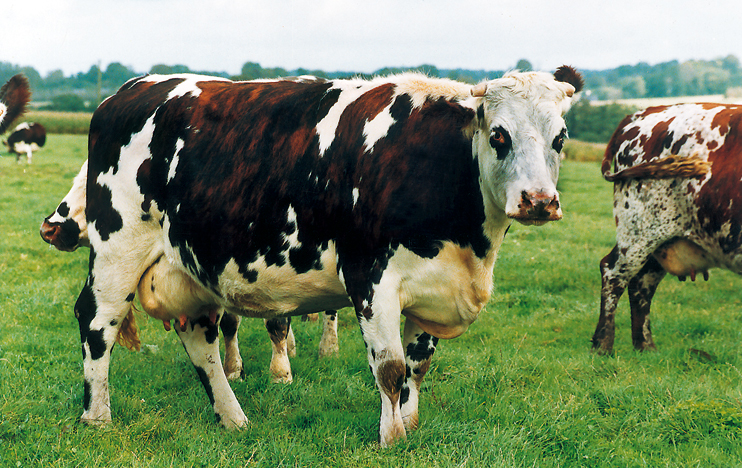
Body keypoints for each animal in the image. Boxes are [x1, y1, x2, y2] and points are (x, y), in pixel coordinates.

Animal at [592, 101, 742, 352]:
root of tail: (643, 112)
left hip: (661, 240)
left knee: (641, 284)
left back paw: (645, 346)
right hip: (637, 232)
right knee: (613, 274)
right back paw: (603, 344)